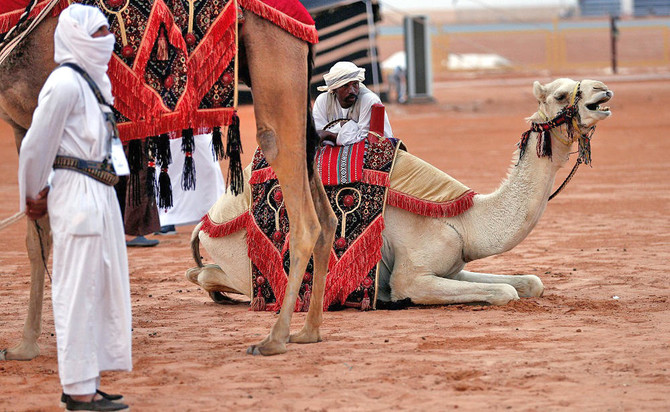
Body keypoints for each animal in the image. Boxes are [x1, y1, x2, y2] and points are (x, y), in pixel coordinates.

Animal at [188, 77, 616, 310]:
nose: (604, 92)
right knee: (214, 274)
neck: (463, 220)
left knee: (206, 273)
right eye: (560, 95)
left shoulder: (453, 266)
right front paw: (393, 298)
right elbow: (504, 292)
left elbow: (528, 282)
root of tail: (207, 222)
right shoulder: (414, 274)